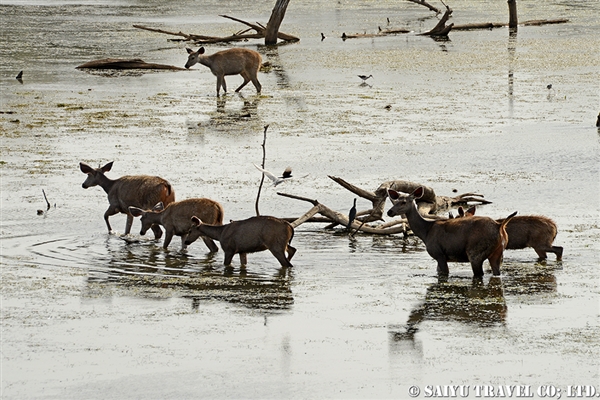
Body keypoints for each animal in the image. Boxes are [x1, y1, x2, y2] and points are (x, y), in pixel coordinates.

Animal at [386, 187, 516, 276]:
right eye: (395, 200)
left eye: (403, 202)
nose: (389, 212)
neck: (425, 232)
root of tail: (499, 226)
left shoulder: (438, 253)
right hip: (498, 252)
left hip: (475, 252)